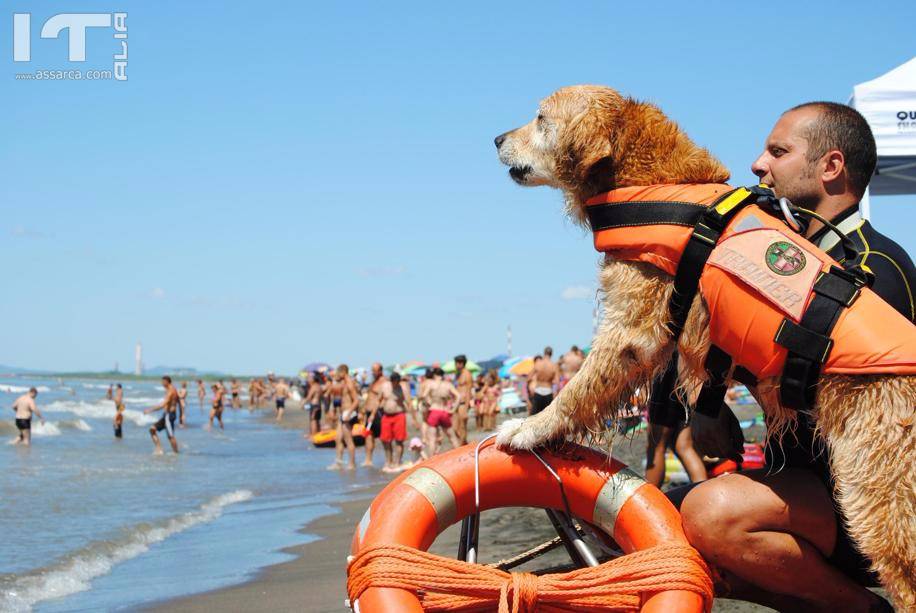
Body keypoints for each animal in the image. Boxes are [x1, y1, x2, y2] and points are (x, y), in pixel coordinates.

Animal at [494, 85, 916, 608]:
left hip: (879, 497)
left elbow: (580, 386)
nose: (496, 139)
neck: (651, 181)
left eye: (540, 118)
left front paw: (530, 427)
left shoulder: (631, 326)